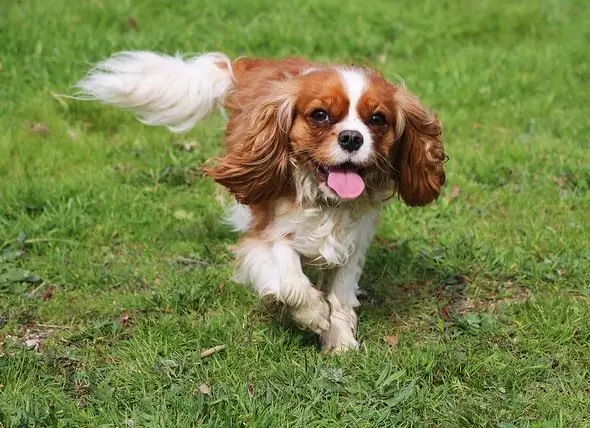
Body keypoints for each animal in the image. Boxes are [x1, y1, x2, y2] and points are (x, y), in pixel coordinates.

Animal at [77, 51, 448, 352]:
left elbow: (341, 296)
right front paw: (313, 314)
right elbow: (289, 276)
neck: (323, 201)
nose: (352, 138)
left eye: (377, 120)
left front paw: (340, 341)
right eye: (320, 115)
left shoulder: (353, 245)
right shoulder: (262, 237)